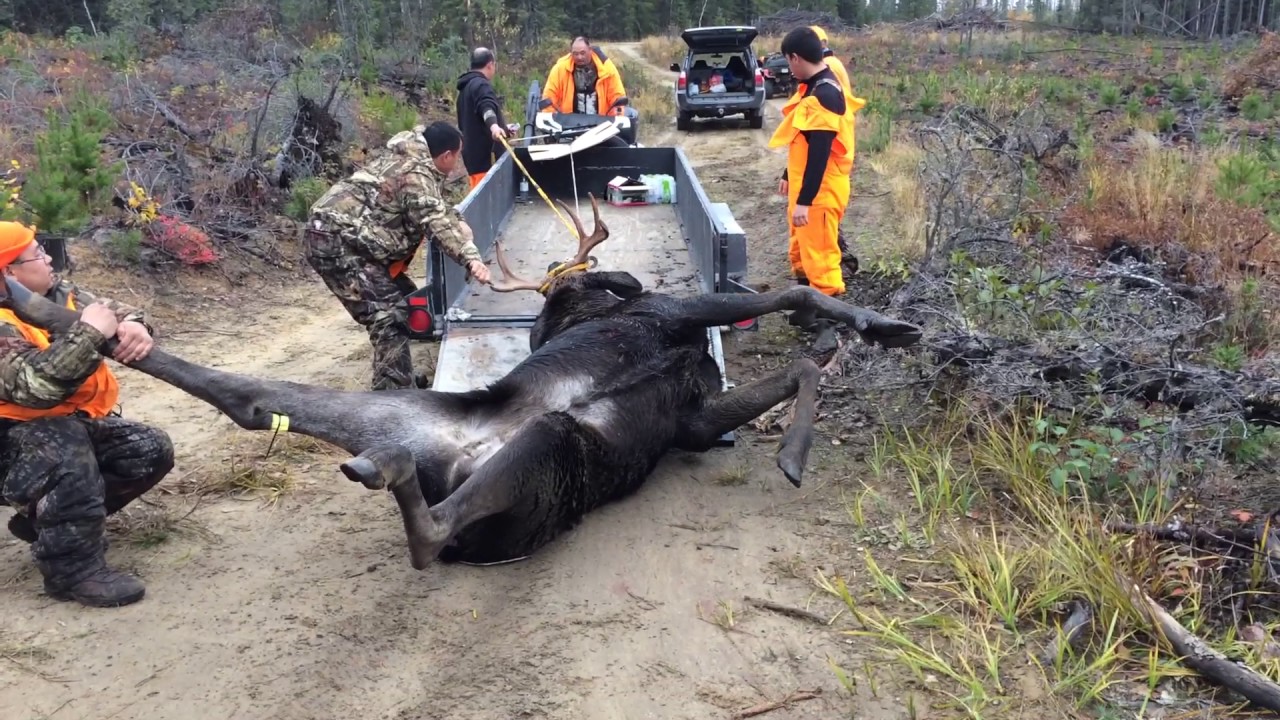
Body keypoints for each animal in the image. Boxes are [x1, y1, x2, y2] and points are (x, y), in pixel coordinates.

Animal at [0, 195, 922, 571]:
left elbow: (797, 365)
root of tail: (445, 448)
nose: (573, 294)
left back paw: (48, 302)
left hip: (402, 416)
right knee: (428, 534)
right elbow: (796, 299)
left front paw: (801, 436)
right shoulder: (680, 311)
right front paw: (876, 328)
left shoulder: (690, 419)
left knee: (244, 397)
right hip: (548, 448)